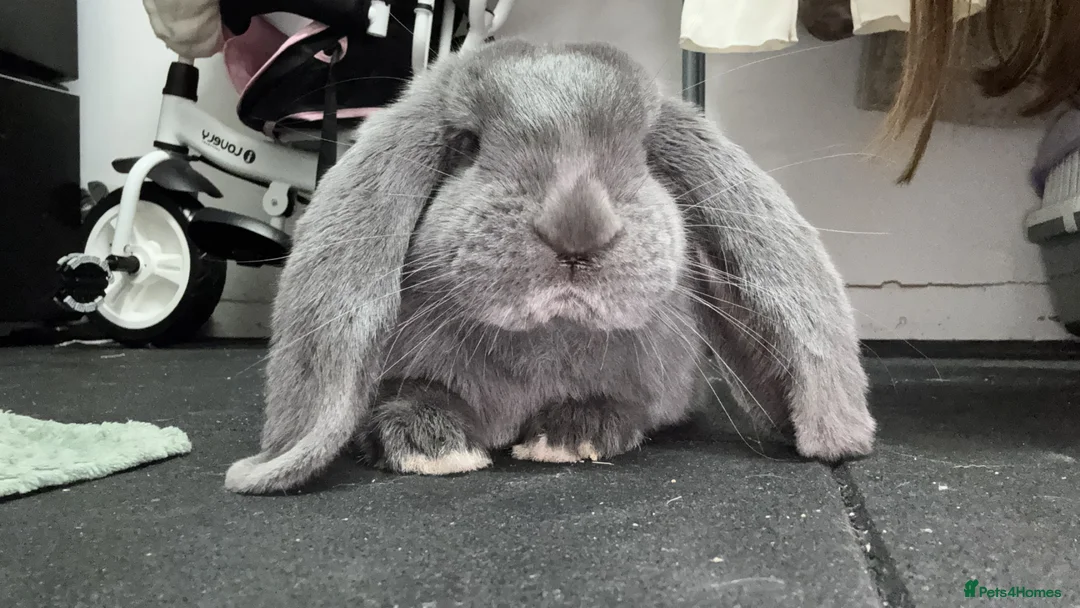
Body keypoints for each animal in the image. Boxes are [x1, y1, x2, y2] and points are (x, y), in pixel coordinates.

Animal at [224, 39, 875, 494]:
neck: (542, 339)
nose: (577, 229)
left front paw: (572, 434)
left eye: (646, 153)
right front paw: (431, 444)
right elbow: (410, 396)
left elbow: (622, 404)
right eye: (466, 145)